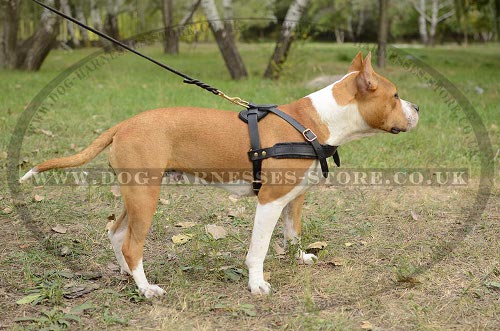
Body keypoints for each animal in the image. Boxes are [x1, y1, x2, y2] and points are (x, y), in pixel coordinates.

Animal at [19, 52, 418, 298]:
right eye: (396, 95)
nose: (417, 107)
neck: (316, 121)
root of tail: (123, 125)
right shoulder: (269, 201)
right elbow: (258, 248)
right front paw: (257, 284)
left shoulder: (294, 198)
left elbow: (293, 234)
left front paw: (299, 258)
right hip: (146, 196)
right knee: (132, 243)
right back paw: (146, 289)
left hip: (135, 194)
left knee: (116, 233)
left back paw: (130, 277)